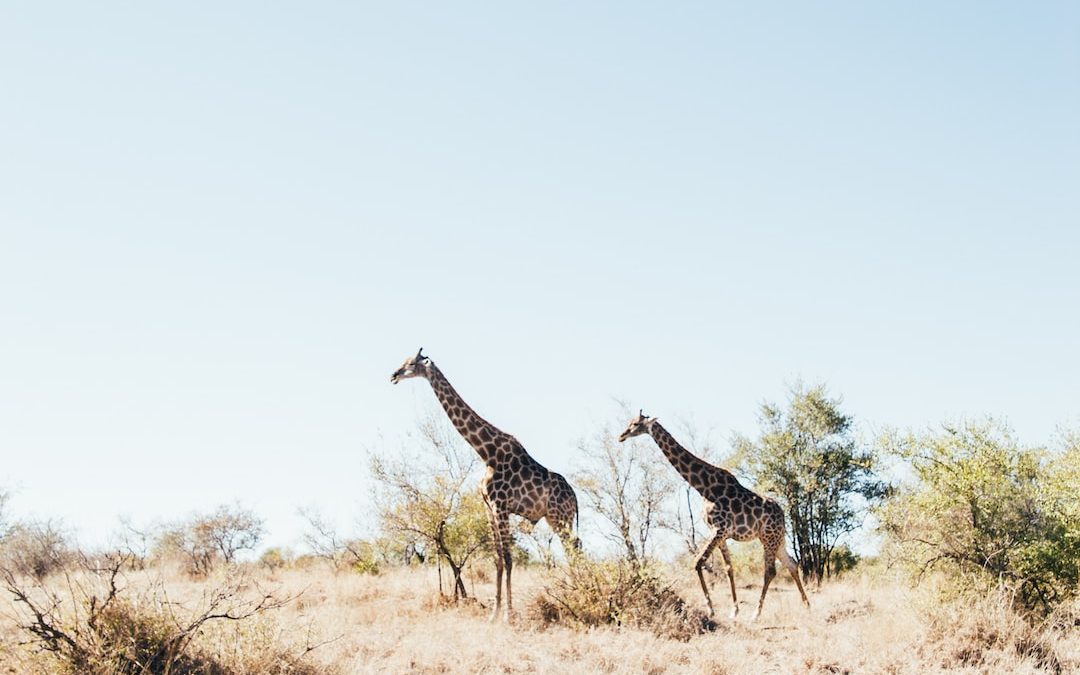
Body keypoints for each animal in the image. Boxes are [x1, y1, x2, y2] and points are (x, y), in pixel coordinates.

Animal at [386, 349, 574, 617]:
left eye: (411, 363)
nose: (393, 375)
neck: (487, 452)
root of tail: (575, 498)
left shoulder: (500, 505)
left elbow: (508, 558)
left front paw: (507, 615)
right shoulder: (488, 506)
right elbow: (497, 558)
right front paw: (494, 613)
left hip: (561, 518)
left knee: (574, 549)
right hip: (554, 519)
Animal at [622, 408, 807, 617]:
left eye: (636, 424)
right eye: (630, 422)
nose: (622, 436)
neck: (703, 487)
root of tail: (782, 515)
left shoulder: (720, 529)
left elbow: (698, 562)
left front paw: (711, 609)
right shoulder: (720, 533)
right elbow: (728, 568)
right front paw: (734, 610)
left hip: (768, 538)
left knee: (771, 571)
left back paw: (756, 614)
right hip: (777, 538)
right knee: (792, 564)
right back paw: (807, 606)